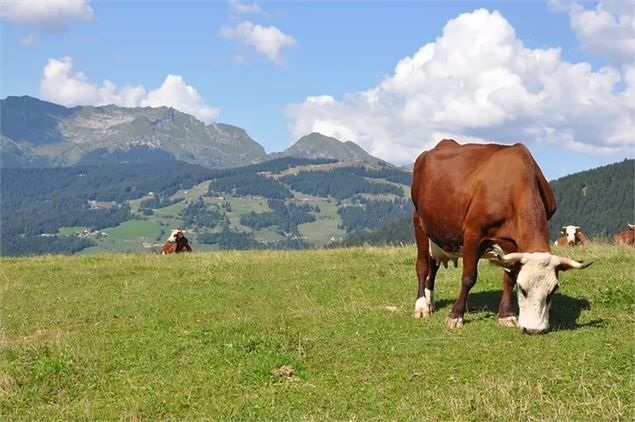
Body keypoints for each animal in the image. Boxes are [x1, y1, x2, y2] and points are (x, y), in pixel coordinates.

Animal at [410, 140, 592, 334]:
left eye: (553, 290)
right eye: (523, 289)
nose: (534, 329)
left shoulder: (512, 243)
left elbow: (509, 277)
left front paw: (506, 315)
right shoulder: (473, 233)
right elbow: (468, 277)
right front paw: (455, 315)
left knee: (433, 266)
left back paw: (430, 301)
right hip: (419, 221)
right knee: (422, 266)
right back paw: (422, 305)